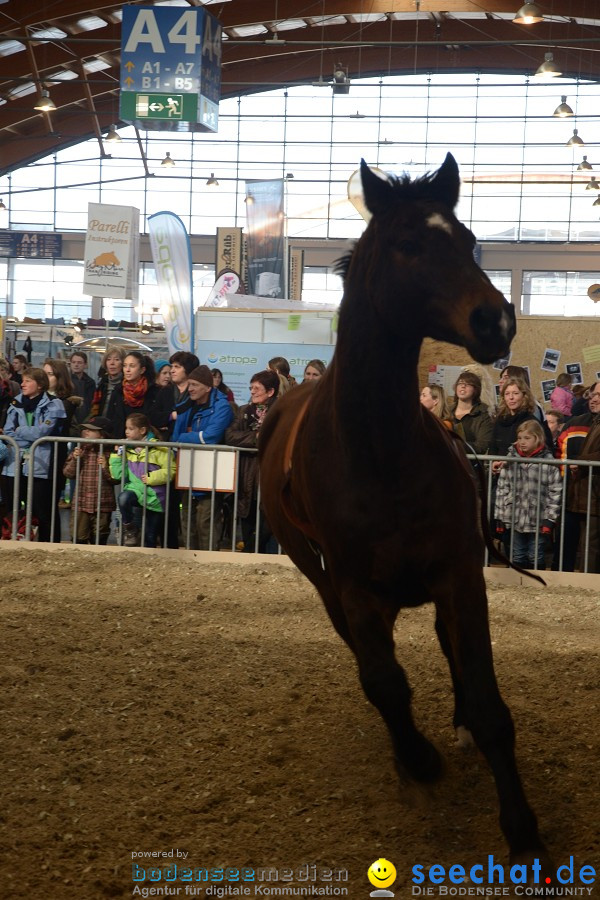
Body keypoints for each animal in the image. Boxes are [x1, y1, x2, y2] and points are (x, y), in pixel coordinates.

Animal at [260, 155, 552, 864]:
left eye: (468, 240)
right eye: (408, 244)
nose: (496, 321)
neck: (379, 451)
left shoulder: (461, 578)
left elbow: (488, 705)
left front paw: (520, 824)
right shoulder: (354, 589)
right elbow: (384, 681)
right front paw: (416, 759)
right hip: (322, 580)